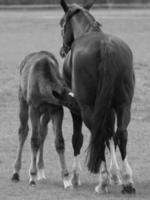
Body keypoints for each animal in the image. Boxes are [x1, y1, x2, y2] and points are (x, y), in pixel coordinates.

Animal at [11, 50, 79, 188]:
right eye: (71, 103)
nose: (82, 111)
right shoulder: (34, 110)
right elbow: (34, 141)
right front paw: (32, 176)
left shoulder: (56, 110)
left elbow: (59, 142)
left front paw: (66, 179)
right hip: (23, 102)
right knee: (23, 131)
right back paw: (16, 172)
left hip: (46, 114)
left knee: (42, 132)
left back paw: (41, 171)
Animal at [59, 0, 135, 194]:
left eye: (62, 24)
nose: (63, 51)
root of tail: (105, 46)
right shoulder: (109, 107)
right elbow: (110, 135)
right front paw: (116, 175)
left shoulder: (76, 107)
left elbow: (77, 139)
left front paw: (76, 177)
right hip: (123, 104)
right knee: (120, 134)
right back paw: (127, 181)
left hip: (87, 108)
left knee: (97, 134)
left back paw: (103, 182)